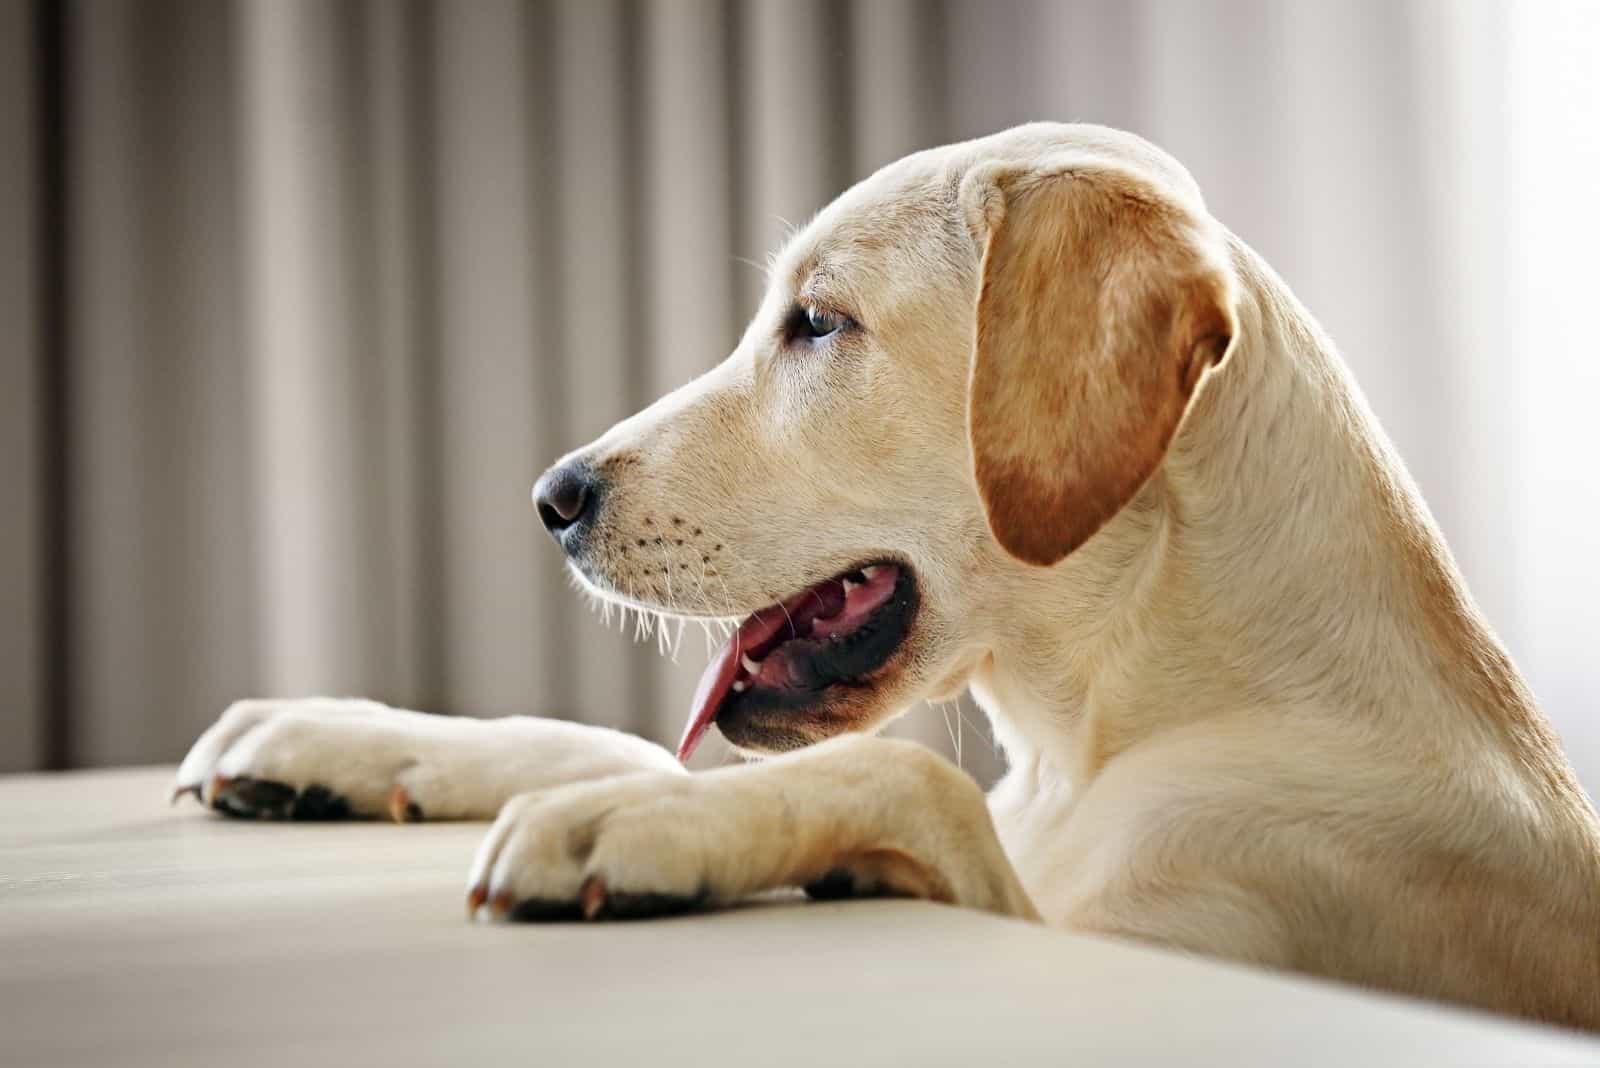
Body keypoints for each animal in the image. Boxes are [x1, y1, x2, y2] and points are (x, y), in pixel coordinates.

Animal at [172, 127, 1600, 1036]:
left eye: (818, 323)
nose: (552, 499)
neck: (1106, 740)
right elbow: (609, 738)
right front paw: (345, 739)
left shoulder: (1188, 940)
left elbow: (911, 779)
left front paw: (643, 823)